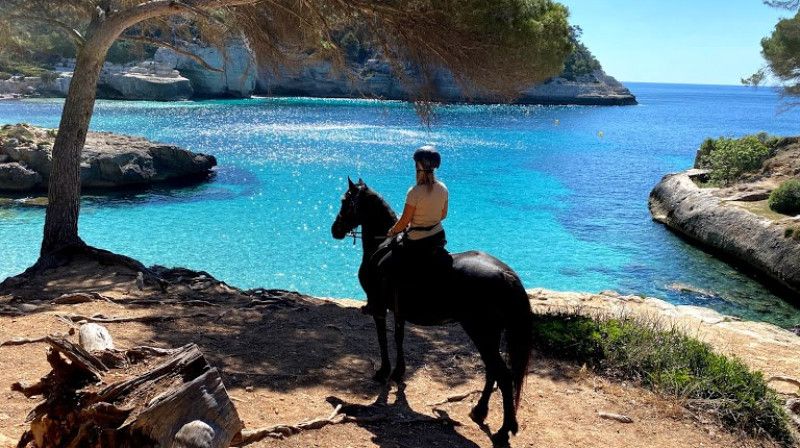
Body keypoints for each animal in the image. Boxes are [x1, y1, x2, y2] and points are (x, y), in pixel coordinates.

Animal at [331, 177, 533, 447]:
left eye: (345, 201)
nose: (335, 229)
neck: (380, 245)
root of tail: (505, 274)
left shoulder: (380, 308)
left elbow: (383, 339)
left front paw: (384, 371)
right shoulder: (398, 312)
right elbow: (398, 337)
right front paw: (398, 373)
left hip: (481, 332)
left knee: (503, 375)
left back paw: (504, 429)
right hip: (490, 335)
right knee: (493, 371)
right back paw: (479, 412)